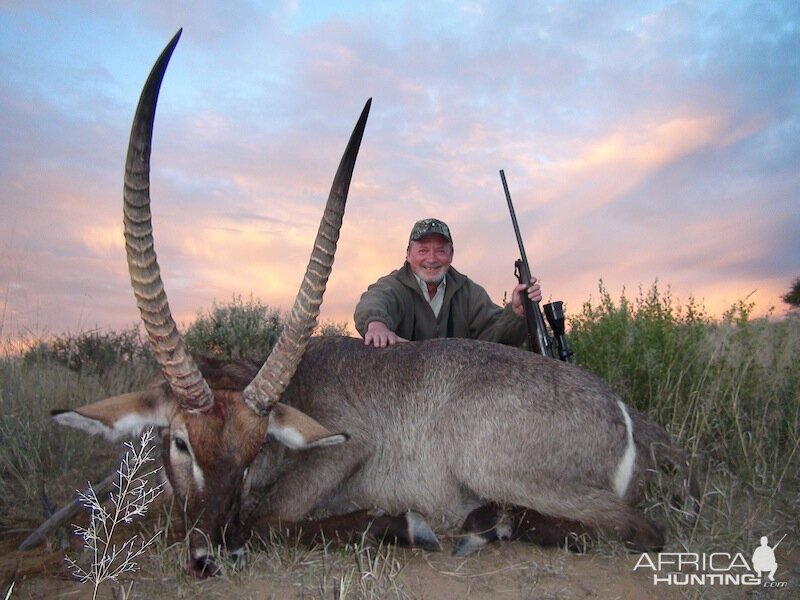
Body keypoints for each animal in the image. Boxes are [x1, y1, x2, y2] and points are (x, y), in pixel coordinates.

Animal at [53, 31, 696, 576]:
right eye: (181, 442)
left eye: (258, 447)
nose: (212, 552)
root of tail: (624, 413)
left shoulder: (343, 451)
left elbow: (270, 520)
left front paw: (402, 525)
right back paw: (485, 522)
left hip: (495, 465)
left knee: (642, 529)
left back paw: (482, 526)